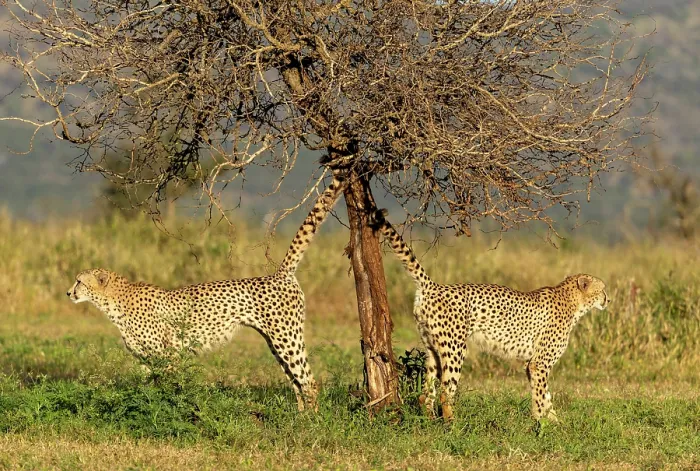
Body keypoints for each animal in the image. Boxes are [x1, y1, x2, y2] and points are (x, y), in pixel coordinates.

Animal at [67, 175, 346, 412]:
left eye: (79, 281)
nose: (68, 292)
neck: (114, 302)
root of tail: (278, 274)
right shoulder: (147, 360)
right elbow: (148, 388)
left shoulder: (168, 356)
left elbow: (170, 388)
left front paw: (172, 411)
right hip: (275, 341)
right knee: (296, 382)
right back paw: (300, 416)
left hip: (287, 337)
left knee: (308, 381)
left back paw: (313, 421)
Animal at [369, 209, 609, 422]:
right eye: (603, 289)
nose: (608, 300)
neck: (573, 301)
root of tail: (434, 286)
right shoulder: (539, 364)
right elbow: (541, 397)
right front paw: (543, 425)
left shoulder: (531, 364)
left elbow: (545, 396)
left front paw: (554, 423)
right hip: (455, 348)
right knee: (446, 393)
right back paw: (453, 425)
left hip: (432, 348)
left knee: (426, 394)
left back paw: (430, 421)